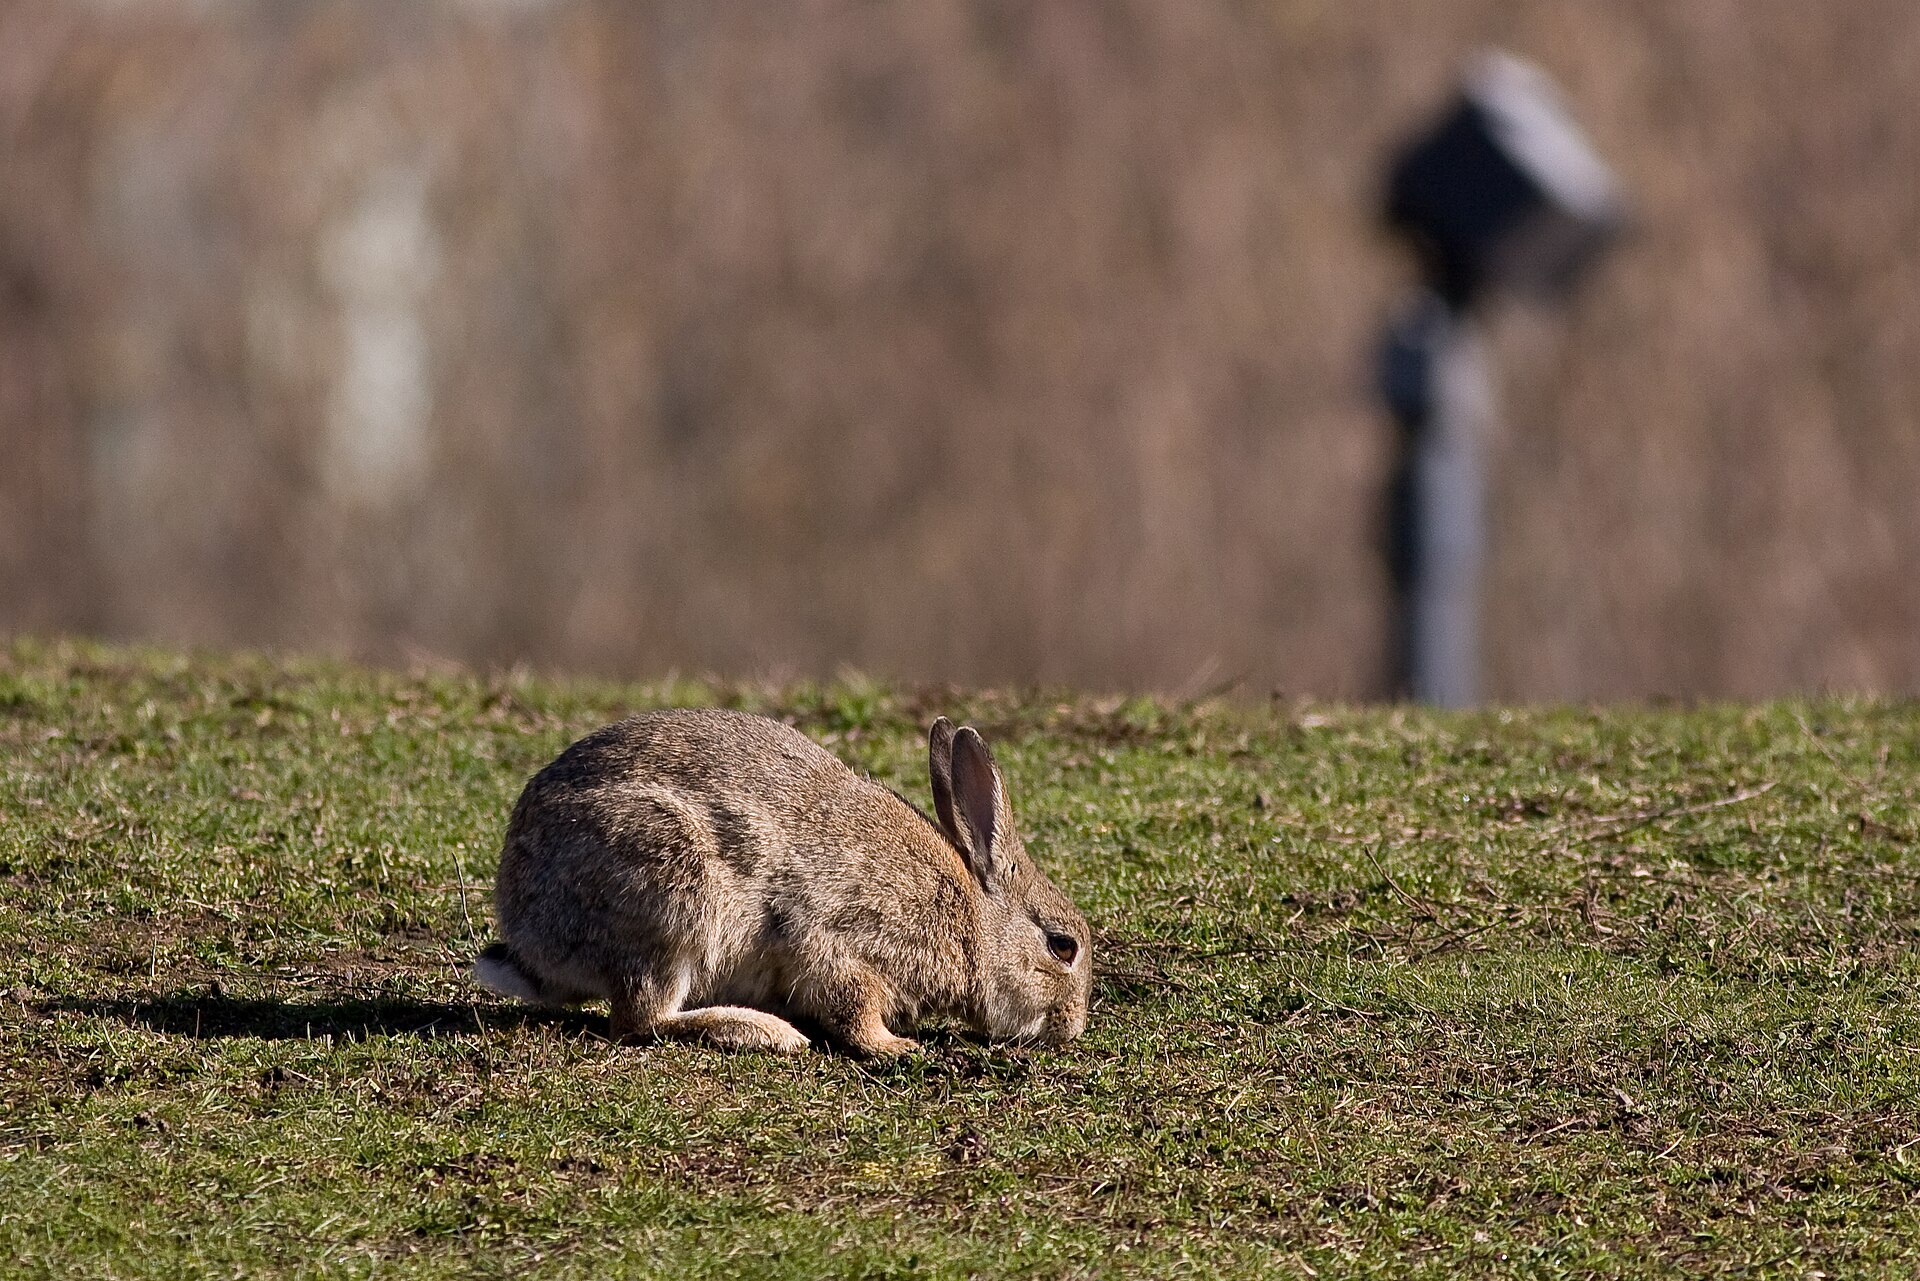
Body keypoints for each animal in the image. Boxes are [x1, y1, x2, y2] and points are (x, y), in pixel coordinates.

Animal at [472, 708, 1091, 1056]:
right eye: (1063, 947)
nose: (1074, 1027)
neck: (973, 924)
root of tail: (529, 939)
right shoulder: (841, 941)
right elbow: (853, 1004)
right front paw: (899, 1046)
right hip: (671, 891)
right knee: (642, 1018)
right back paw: (767, 1032)